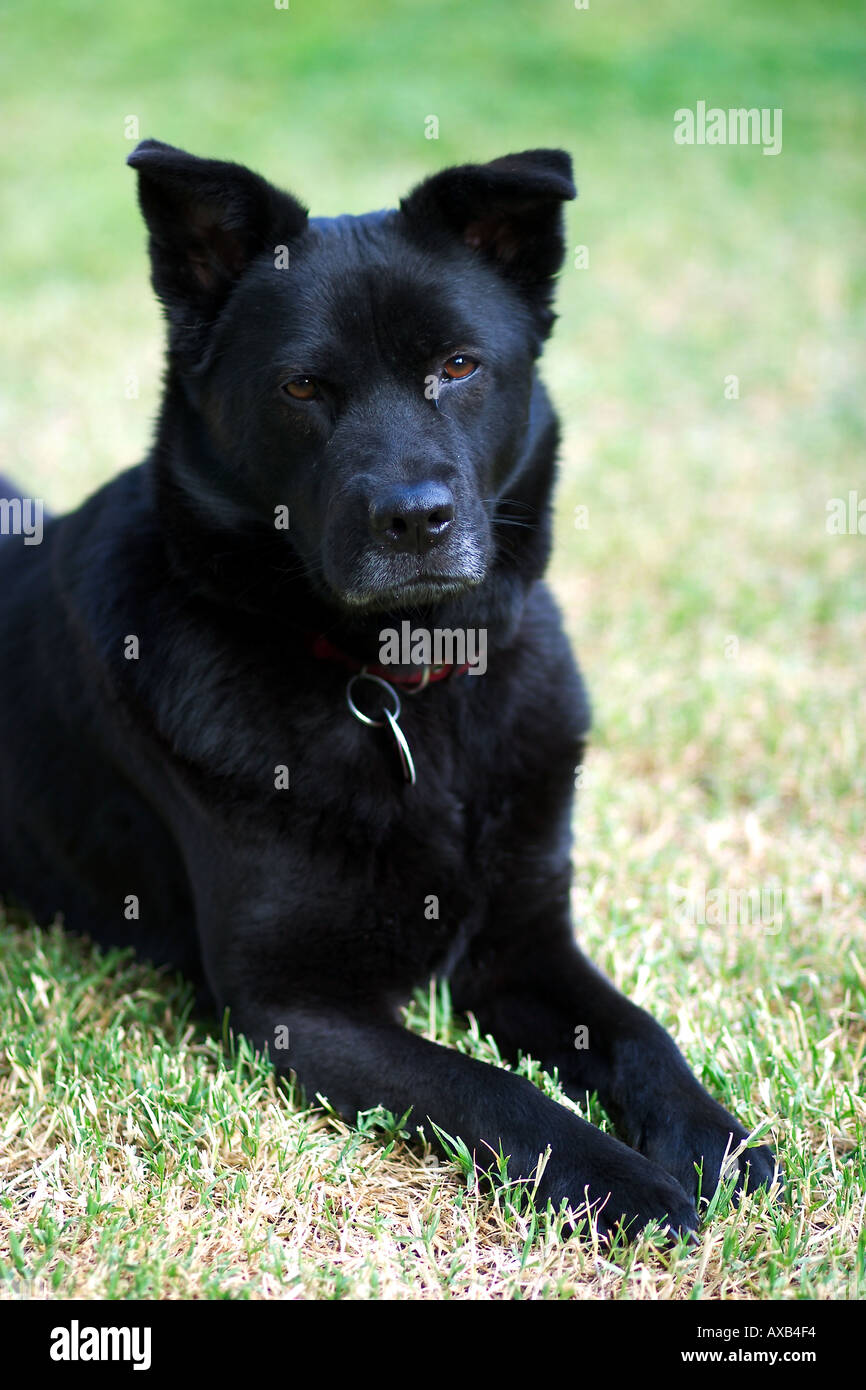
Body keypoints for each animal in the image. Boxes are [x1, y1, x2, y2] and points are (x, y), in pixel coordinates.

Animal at [0, 138, 778, 1239]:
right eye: (299, 388)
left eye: (456, 367)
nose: (415, 519)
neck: (400, 686)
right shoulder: (299, 1005)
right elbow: (488, 1085)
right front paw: (621, 1182)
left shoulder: (525, 941)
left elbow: (638, 1030)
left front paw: (712, 1140)